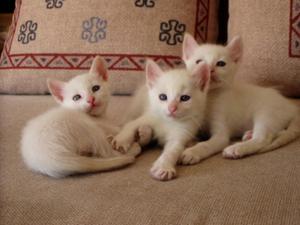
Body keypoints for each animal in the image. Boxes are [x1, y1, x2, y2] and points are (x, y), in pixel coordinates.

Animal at [178, 33, 300, 163]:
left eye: (221, 64)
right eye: (199, 61)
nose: (210, 69)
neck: (209, 97)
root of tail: (292, 106)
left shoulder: (221, 134)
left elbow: (206, 144)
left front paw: (192, 152)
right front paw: (190, 143)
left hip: (267, 113)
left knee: (263, 138)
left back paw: (237, 148)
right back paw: (250, 134)